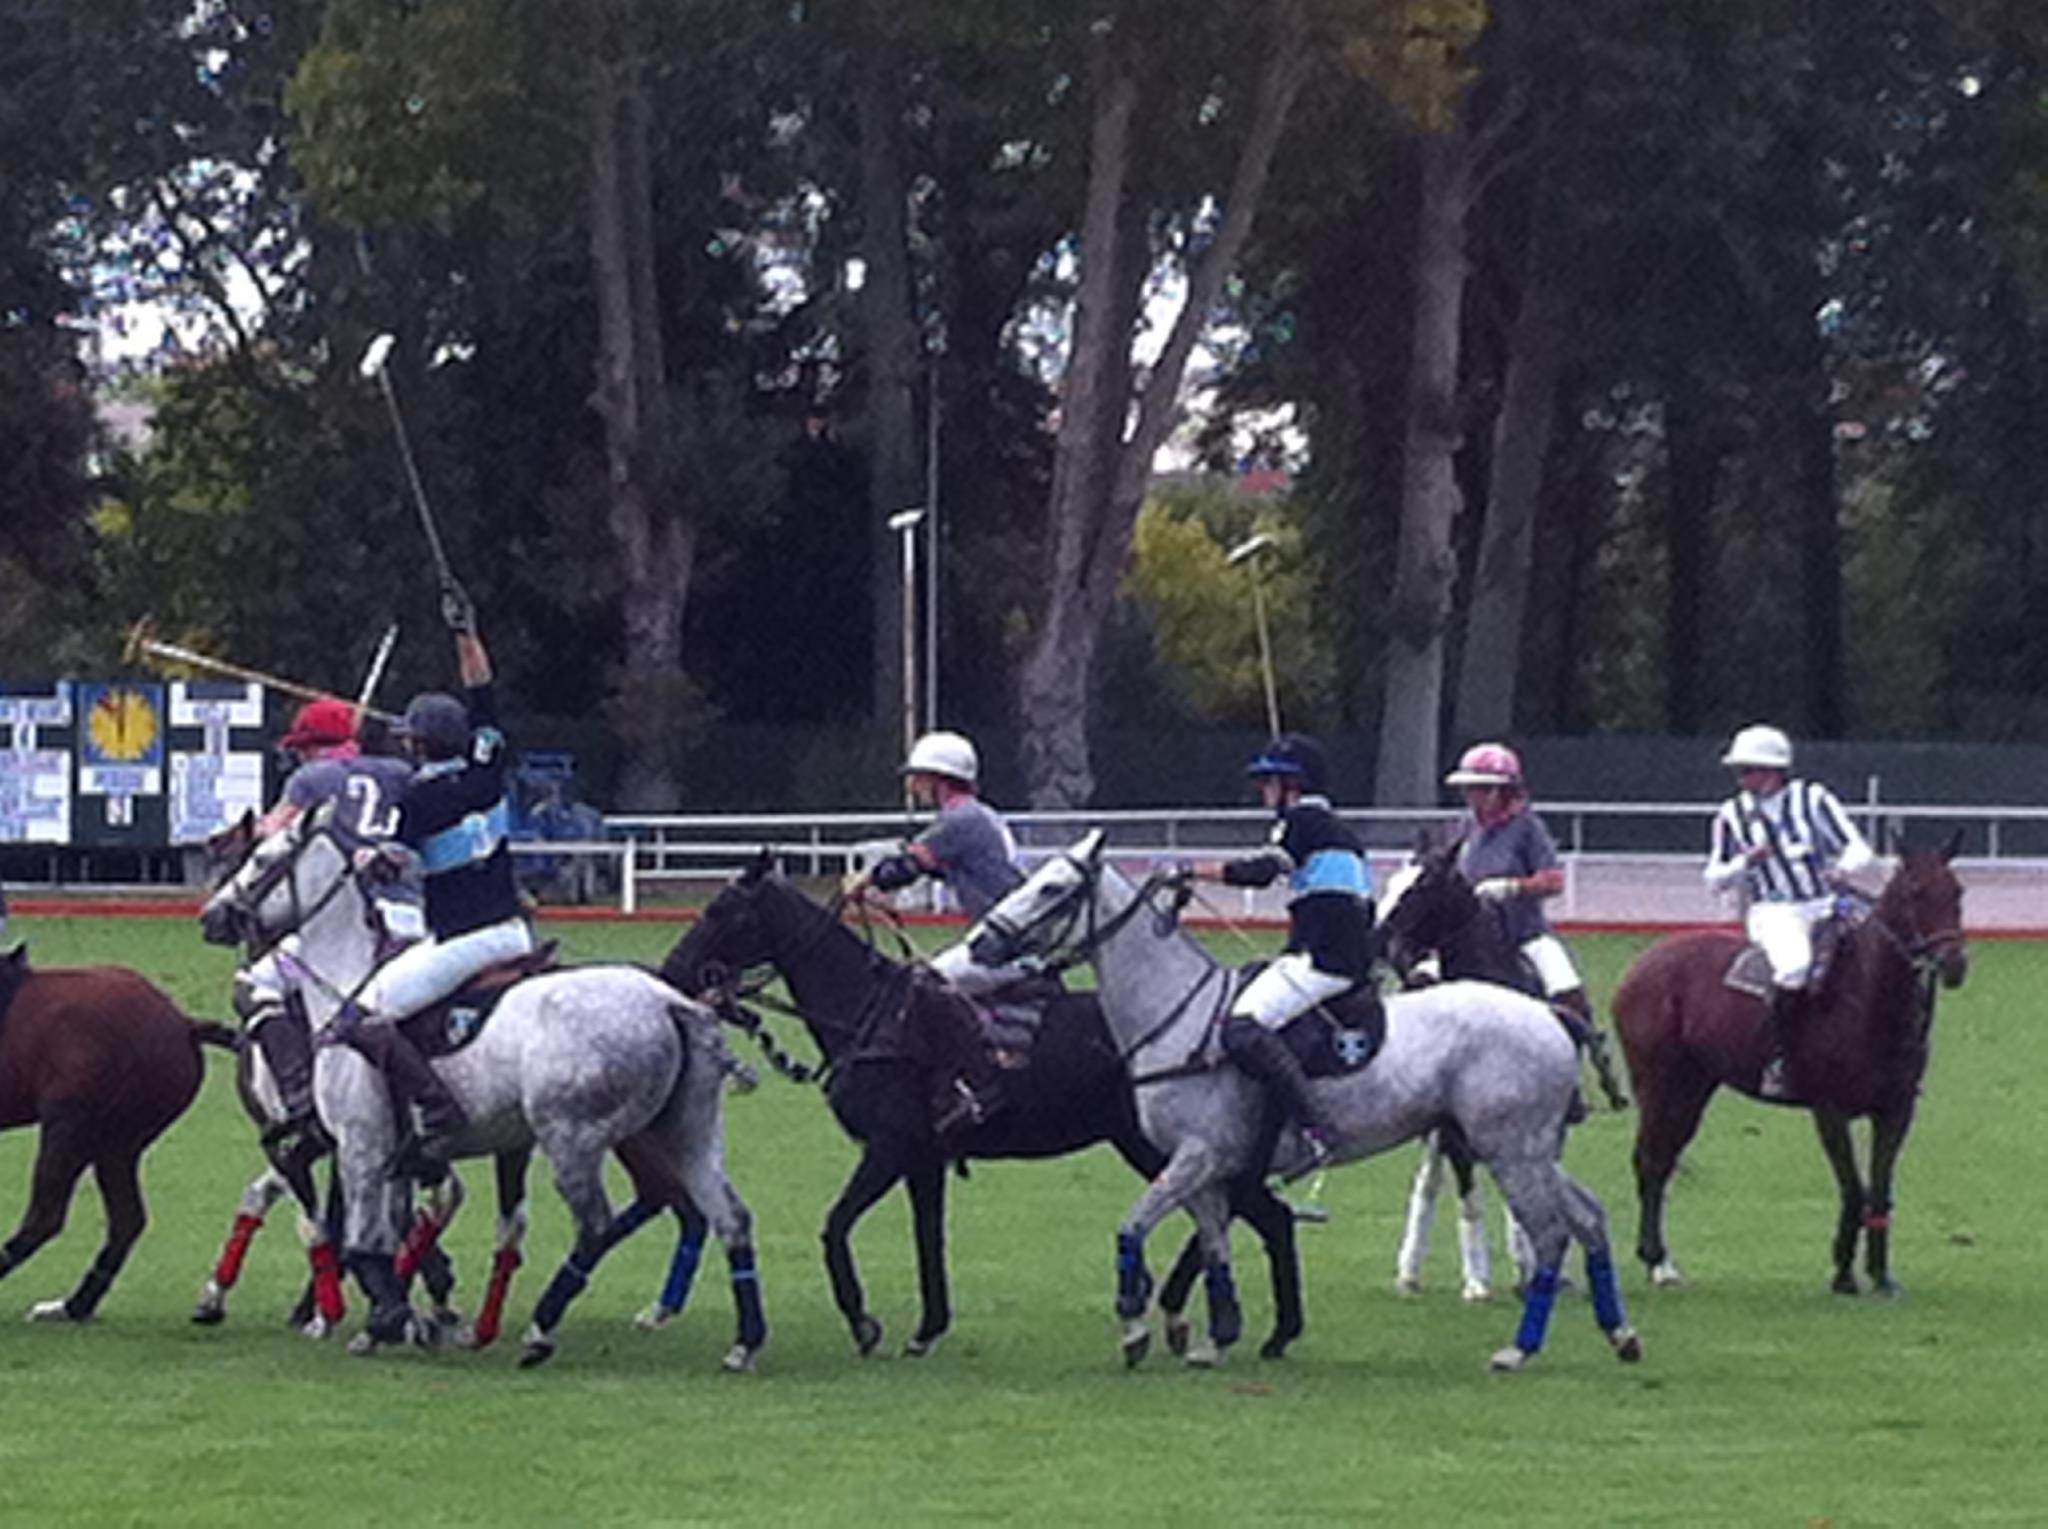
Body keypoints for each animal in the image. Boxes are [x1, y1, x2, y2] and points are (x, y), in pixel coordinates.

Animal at [0, 944, 238, 1321]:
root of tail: (182, 1023)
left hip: (72, 1125)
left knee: (46, 1216)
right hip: (116, 1142)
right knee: (127, 1219)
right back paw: (76, 1305)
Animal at [199, 805, 766, 1369]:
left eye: (261, 860)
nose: (212, 916)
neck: (344, 983)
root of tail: (672, 1002)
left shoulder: (360, 1142)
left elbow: (357, 1238)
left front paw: (383, 1318)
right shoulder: (405, 1154)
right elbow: (400, 1230)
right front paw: (404, 1314)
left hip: (572, 1136)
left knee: (598, 1225)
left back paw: (541, 1326)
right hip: (686, 1130)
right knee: (728, 1215)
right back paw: (744, 1339)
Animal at [656, 855, 1307, 1361]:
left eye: (723, 912)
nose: (672, 971)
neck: (867, 1014)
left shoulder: (889, 1148)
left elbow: (835, 1226)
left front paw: (865, 1323)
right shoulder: (923, 1158)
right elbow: (928, 1239)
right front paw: (926, 1330)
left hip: (1169, 1145)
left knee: (1261, 1214)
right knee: (1256, 1216)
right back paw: (1240, 1327)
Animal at [965, 831, 1643, 1373]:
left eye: (1052, 889)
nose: (979, 943)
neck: (1177, 1016)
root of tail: (1549, 1014)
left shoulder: (1196, 1156)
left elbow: (1132, 1228)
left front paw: (1135, 1327)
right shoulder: (1207, 1169)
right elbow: (1214, 1247)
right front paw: (1219, 1335)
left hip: (1507, 1146)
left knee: (1551, 1232)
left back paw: (1520, 1348)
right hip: (1530, 1145)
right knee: (1588, 1216)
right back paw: (1620, 1333)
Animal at [1610, 835, 1968, 1295]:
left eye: (1957, 892)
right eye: (1916, 892)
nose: (1954, 964)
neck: (1872, 1001)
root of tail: (1642, 962)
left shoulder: (1896, 1110)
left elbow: (1879, 1189)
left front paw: (1881, 1276)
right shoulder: (1830, 1111)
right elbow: (1853, 1187)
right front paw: (1843, 1274)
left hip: (1692, 1087)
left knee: (1662, 1159)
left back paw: (1662, 1262)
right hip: (1656, 1083)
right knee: (1650, 1160)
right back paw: (1657, 1261)